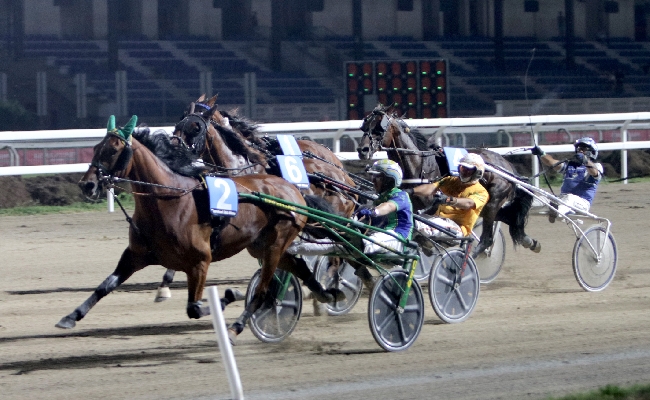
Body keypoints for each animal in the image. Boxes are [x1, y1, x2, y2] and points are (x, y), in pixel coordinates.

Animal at [57, 114, 316, 342]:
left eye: (112, 150)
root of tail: (292, 189)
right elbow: (105, 286)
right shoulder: (135, 255)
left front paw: (232, 293)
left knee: (264, 291)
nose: (87, 185)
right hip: (262, 246)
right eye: (95, 148)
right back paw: (324, 293)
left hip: (275, 245)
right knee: (298, 269)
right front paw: (70, 316)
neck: (170, 200)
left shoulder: (200, 261)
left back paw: (236, 328)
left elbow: (195, 308)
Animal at [354, 105, 536, 256]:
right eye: (364, 126)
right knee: (510, 219)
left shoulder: (432, 208)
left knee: (487, 239)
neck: (420, 165)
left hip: (493, 202)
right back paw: (530, 242)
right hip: (490, 207)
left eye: (379, 128)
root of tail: (508, 166)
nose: (363, 150)